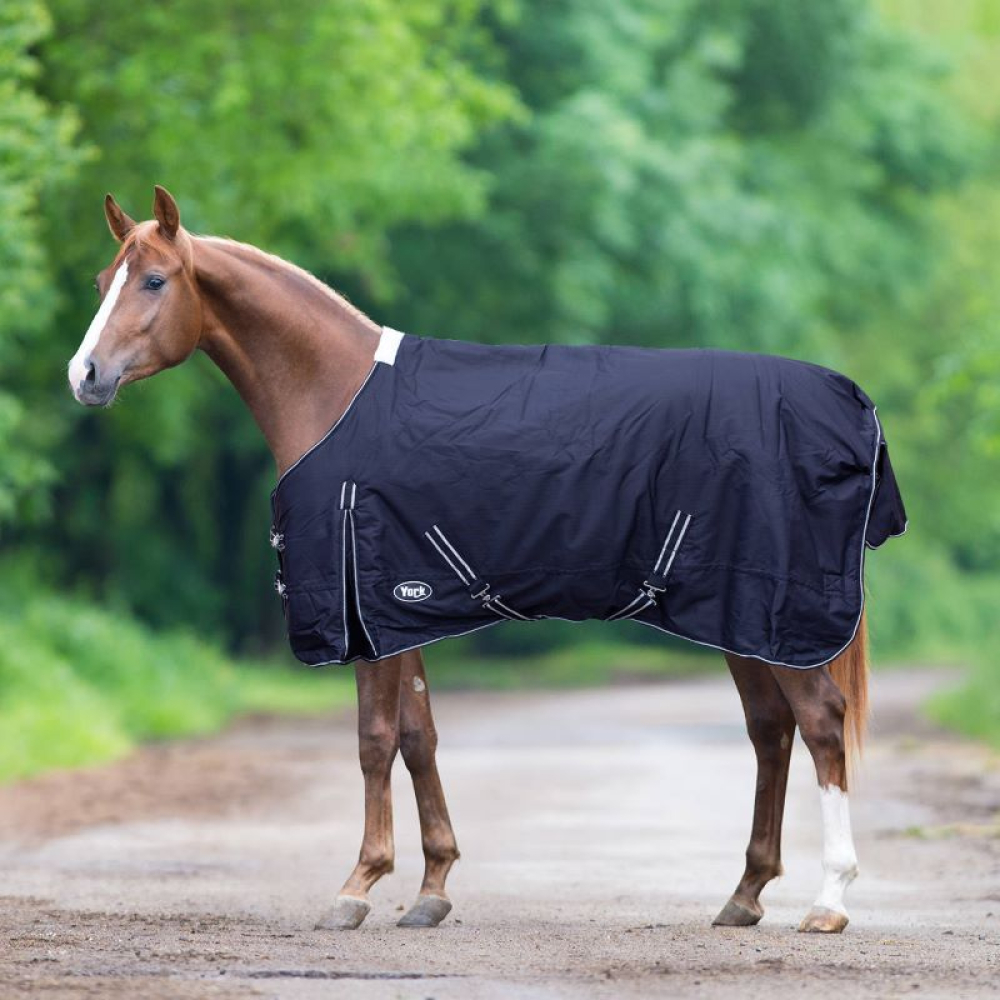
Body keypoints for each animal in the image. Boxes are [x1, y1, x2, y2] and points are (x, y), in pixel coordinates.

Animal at [68, 189, 868, 936]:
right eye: (105, 278)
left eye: (155, 281)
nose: (85, 375)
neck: (339, 395)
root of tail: (845, 408)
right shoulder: (399, 611)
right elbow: (419, 738)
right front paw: (432, 888)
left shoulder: (367, 605)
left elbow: (374, 740)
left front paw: (358, 886)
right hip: (740, 620)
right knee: (770, 730)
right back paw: (745, 894)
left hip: (775, 616)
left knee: (822, 723)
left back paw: (829, 901)